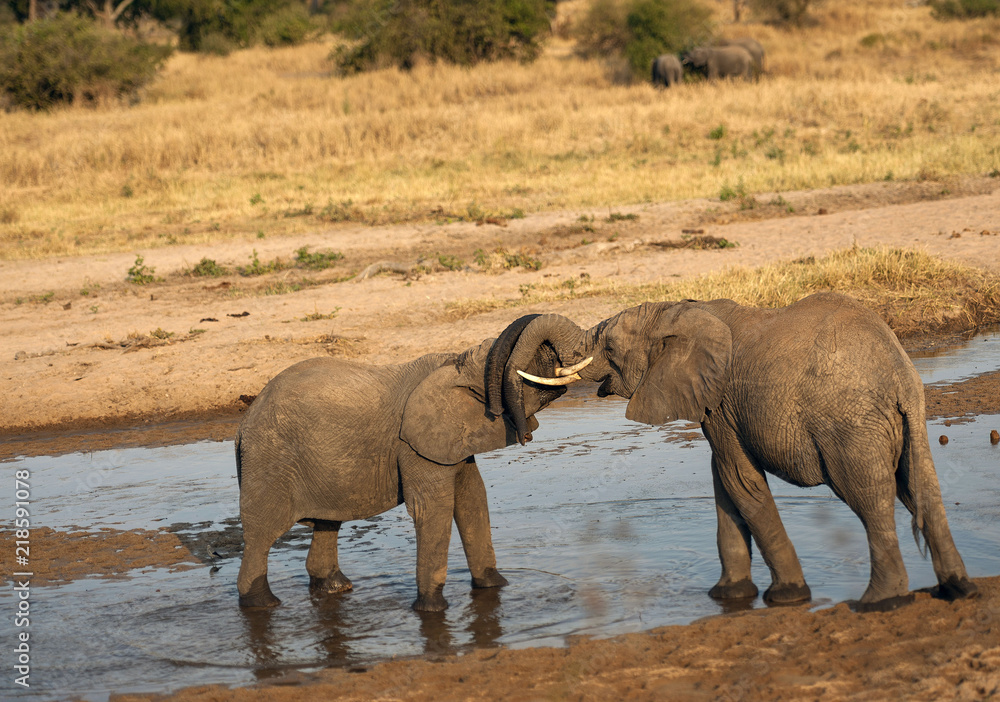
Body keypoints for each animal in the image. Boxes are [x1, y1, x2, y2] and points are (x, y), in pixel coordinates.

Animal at [236, 321, 588, 612]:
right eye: (517, 368)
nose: (527, 436)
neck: (454, 364)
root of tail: (243, 424)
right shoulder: (413, 445)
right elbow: (434, 507)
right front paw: (432, 609)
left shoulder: (449, 440)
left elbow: (473, 498)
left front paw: (495, 587)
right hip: (269, 461)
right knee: (262, 533)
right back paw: (263, 603)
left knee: (327, 522)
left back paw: (336, 587)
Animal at [486, 293, 978, 611]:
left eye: (608, 347)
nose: (524, 434)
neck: (679, 310)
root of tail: (897, 374)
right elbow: (723, 483)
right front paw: (727, 597)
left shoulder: (720, 400)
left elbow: (739, 481)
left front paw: (786, 598)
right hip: (909, 417)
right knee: (922, 487)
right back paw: (959, 589)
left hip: (849, 426)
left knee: (869, 498)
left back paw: (879, 603)